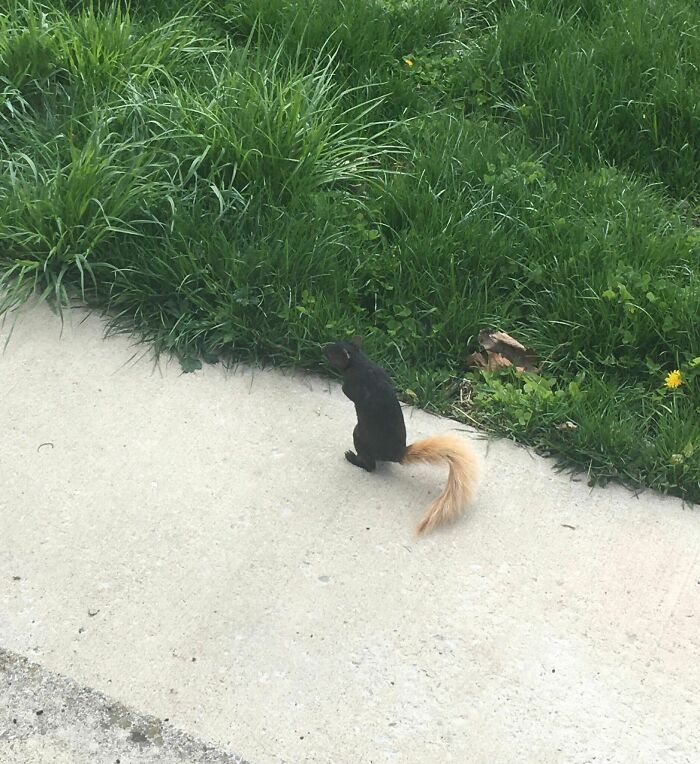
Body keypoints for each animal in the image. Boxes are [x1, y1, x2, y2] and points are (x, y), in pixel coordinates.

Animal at [324, 337, 480, 534]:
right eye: (335, 343)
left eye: (333, 352)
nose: (323, 348)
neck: (361, 362)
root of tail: (396, 454)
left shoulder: (354, 383)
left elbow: (348, 392)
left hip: (359, 437)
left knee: (370, 466)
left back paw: (352, 458)